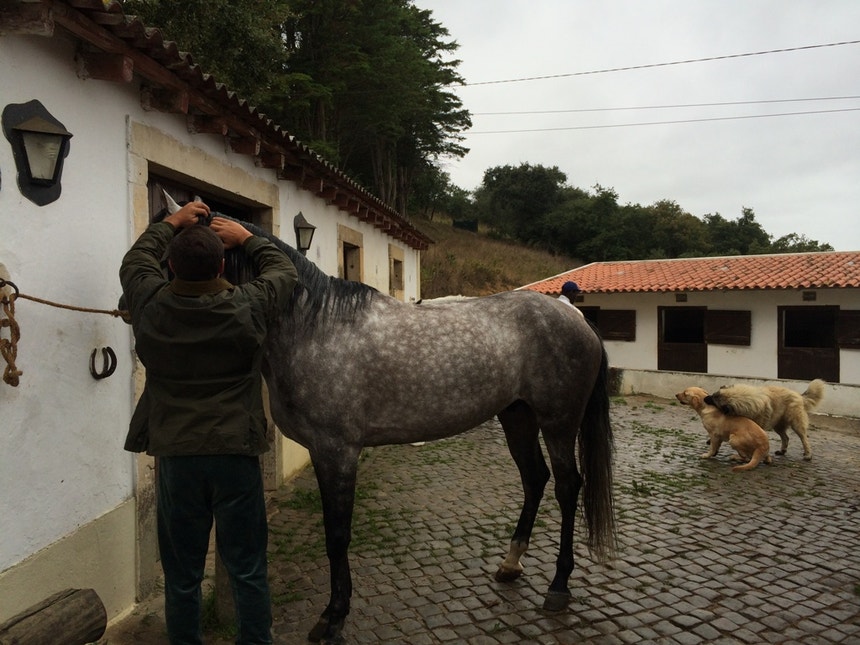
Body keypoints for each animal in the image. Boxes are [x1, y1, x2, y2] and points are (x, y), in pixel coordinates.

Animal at [161, 198, 616, 643]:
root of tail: (579, 321)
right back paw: (510, 563)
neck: (314, 327)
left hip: (558, 422)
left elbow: (337, 534)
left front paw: (333, 617)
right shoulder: (324, 452)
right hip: (517, 416)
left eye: (178, 256)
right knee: (534, 478)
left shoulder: (338, 452)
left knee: (567, 486)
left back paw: (558, 587)